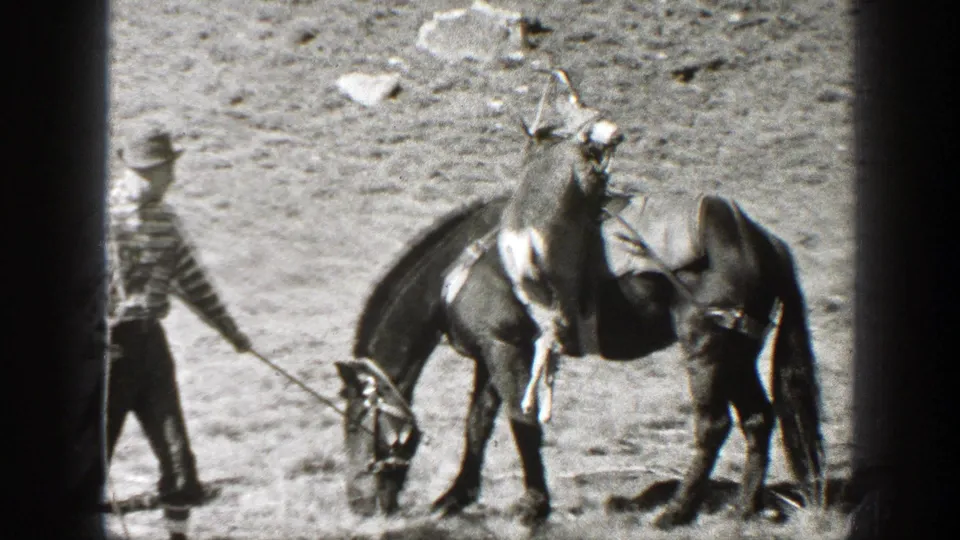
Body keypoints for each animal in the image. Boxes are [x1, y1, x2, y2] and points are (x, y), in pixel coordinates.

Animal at [334, 75, 825, 531]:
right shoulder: (491, 354)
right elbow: (477, 424)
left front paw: (533, 507)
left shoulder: (506, 349)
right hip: (739, 349)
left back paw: (676, 511)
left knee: (714, 424)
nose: (358, 504)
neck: (460, 268)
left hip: (708, 344)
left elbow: (520, 420)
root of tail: (761, 238)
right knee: (758, 418)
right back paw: (744, 508)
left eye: (357, 423)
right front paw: (455, 497)